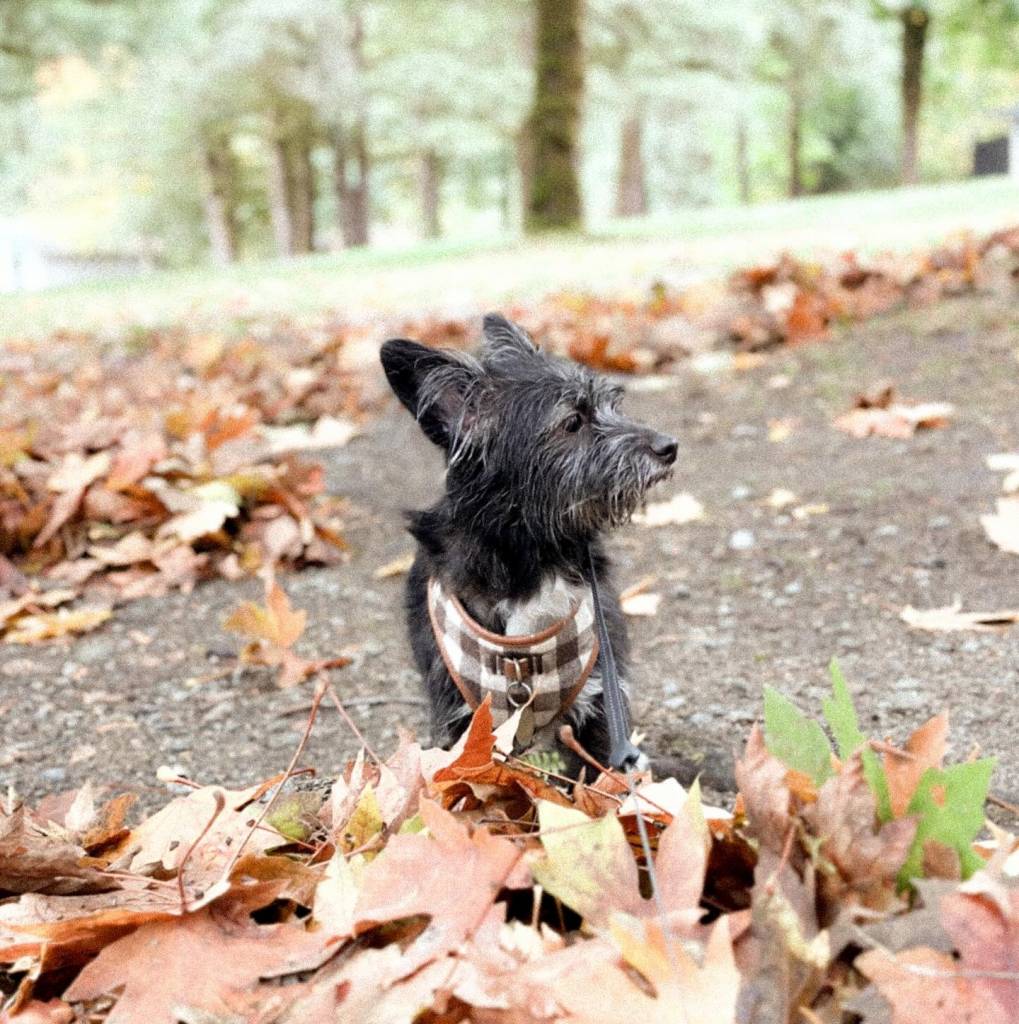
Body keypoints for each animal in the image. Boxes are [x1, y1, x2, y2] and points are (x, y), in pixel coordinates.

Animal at [380, 314, 677, 775]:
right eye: (572, 422)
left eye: (614, 405)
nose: (670, 447)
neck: (534, 552)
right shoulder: (463, 722)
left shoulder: (602, 707)